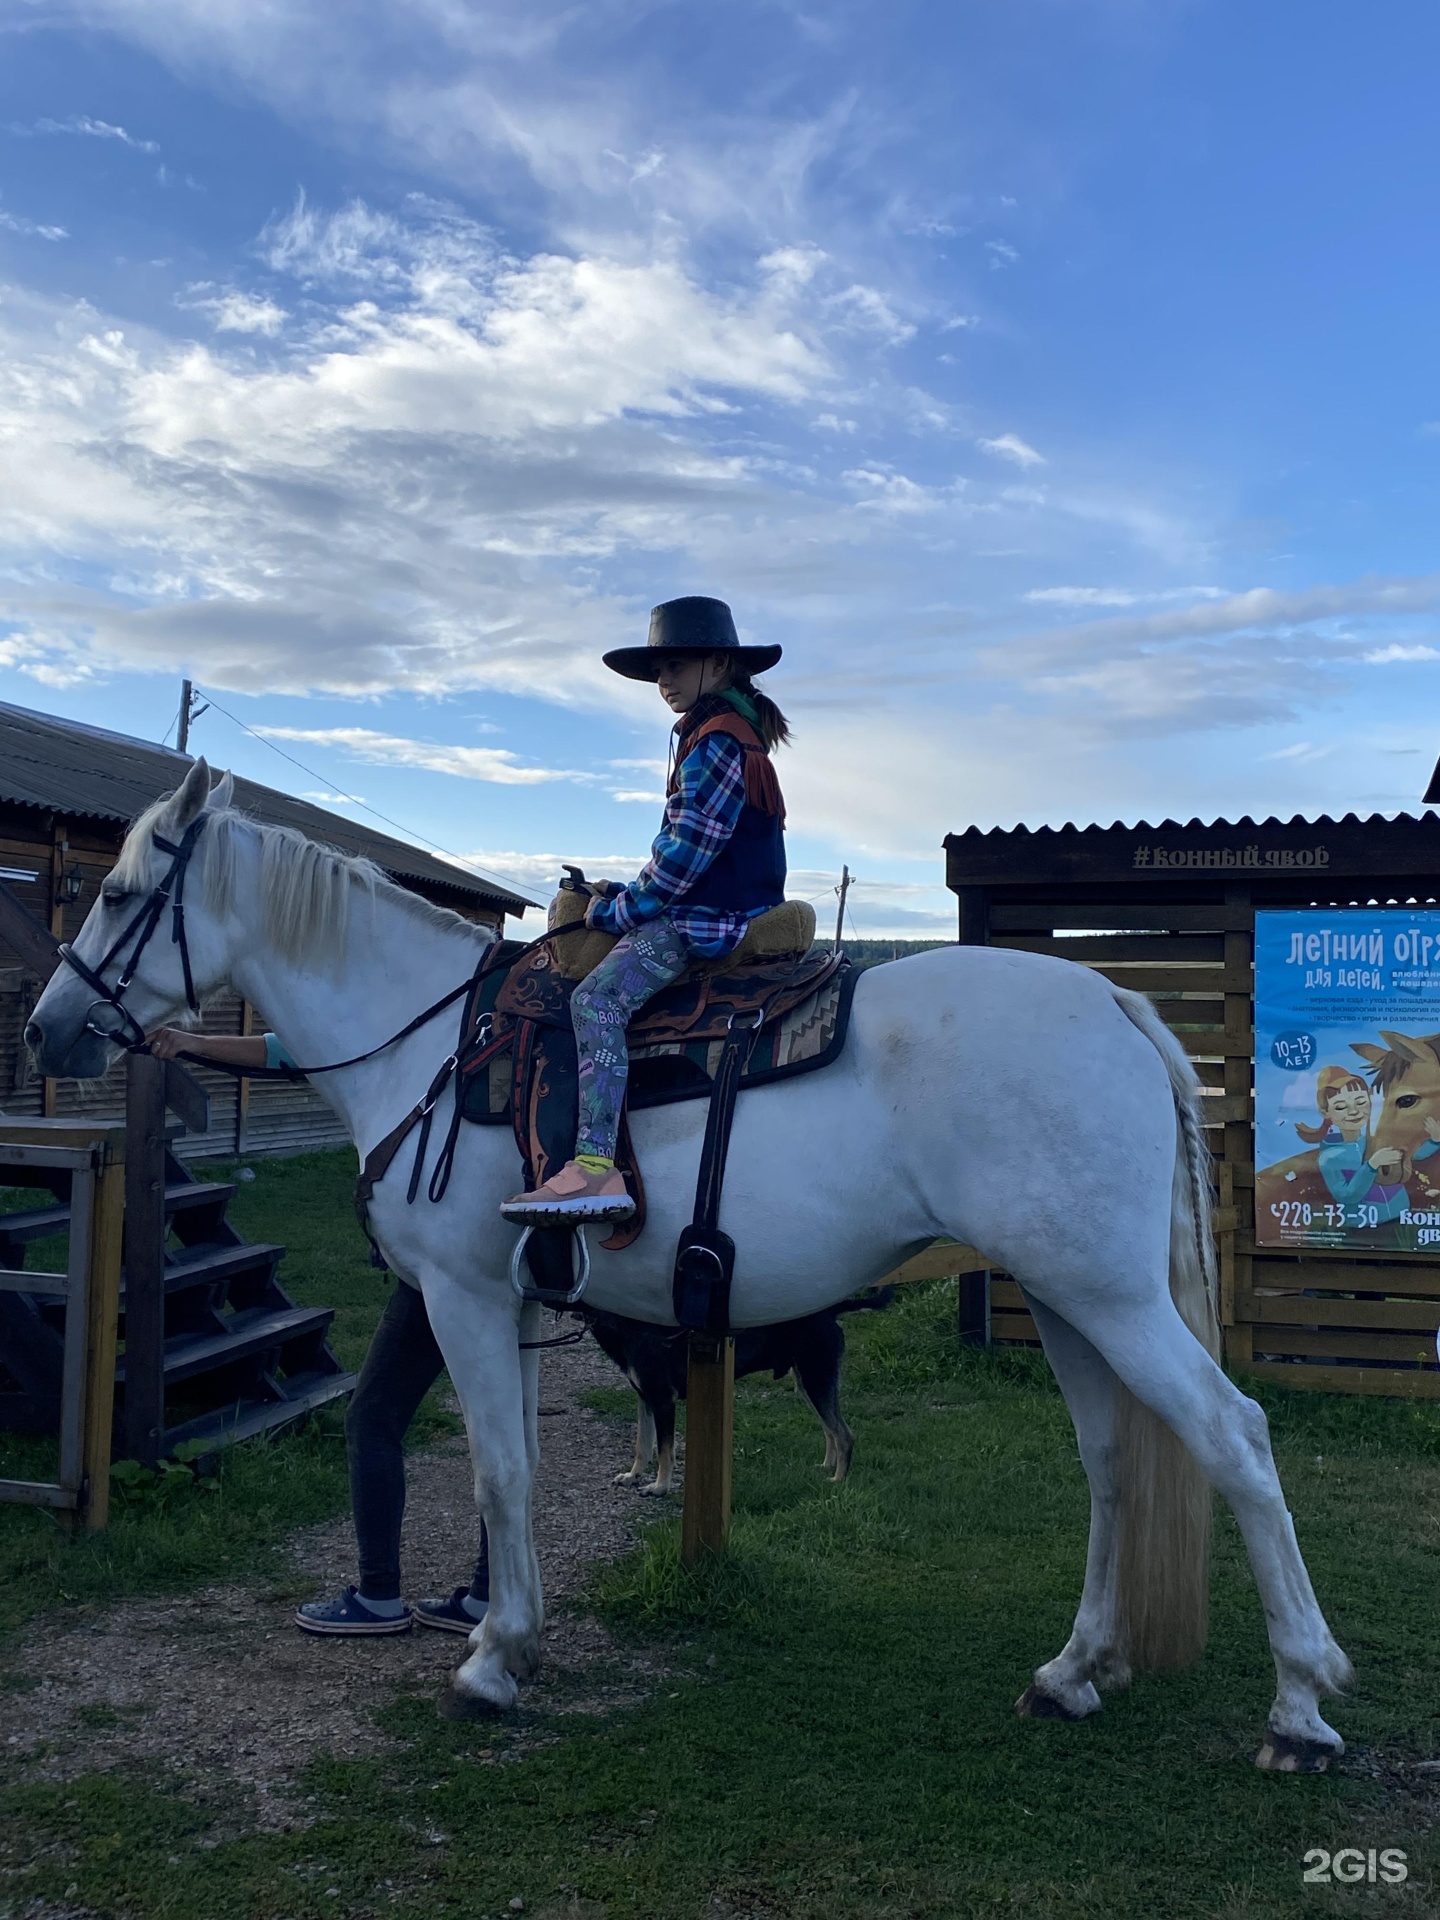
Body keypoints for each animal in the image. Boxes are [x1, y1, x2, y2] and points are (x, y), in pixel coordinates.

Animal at [583, 1290, 890, 1497]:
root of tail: (830, 1310)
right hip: (809, 1382)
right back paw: (827, 1467)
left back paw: (838, 1480)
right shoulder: (645, 1398)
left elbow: (665, 1451)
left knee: (844, 1435)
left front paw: (659, 1487)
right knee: (830, 1430)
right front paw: (632, 1476)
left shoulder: (662, 1400)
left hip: (817, 1379)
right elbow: (642, 1445)